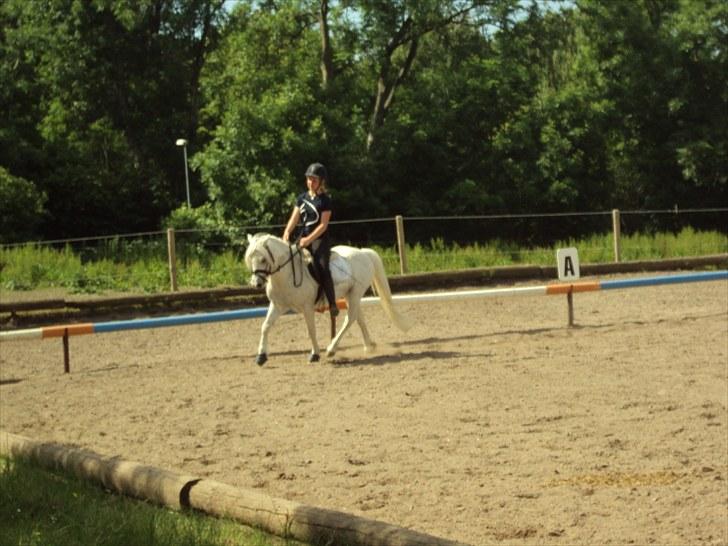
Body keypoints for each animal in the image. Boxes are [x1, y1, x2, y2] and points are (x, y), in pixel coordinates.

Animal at [245, 232, 412, 364]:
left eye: (263, 259)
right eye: (250, 259)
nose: (256, 283)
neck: (287, 274)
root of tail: (363, 253)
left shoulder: (307, 307)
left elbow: (311, 330)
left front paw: (315, 354)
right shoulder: (277, 305)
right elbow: (265, 326)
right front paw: (261, 356)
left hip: (355, 293)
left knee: (350, 319)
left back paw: (332, 349)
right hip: (350, 295)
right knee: (359, 318)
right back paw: (369, 346)